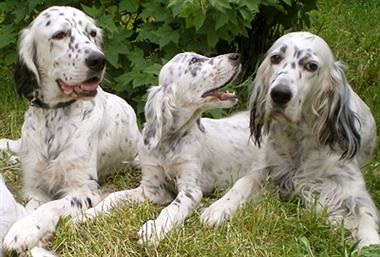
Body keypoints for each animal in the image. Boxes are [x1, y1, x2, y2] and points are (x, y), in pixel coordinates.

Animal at [0, 6, 141, 252]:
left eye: (92, 33)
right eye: (60, 35)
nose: (98, 60)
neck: (55, 116)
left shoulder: (84, 190)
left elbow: (52, 206)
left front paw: (25, 230)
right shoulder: (35, 188)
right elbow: (32, 205)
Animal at [75, 52, 268, 246]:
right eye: (194, 61)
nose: (236, 56)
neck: (168, 142)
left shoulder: (191, 189)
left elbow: (172, 208)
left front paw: (154, 229)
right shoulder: (152, 188)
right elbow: (115, 197)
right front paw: (87, 214)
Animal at [249, 31, 380, 247]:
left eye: (311, 66)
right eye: (275, 58)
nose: (279, 94)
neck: (299, 140)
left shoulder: (349, 188)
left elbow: (365, 215)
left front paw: (370, 243)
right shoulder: (273, 169)